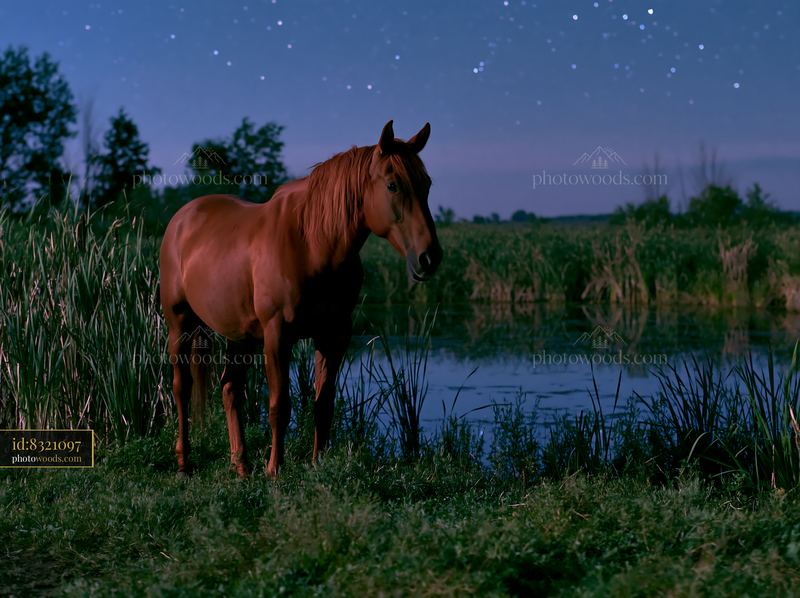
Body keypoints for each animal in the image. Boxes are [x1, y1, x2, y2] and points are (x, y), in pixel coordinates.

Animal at [159, 120, 442, 478]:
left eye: (427, 184)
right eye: (392, 185)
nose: (429, 258)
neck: (313, 243)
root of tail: (182, 218)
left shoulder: (334, 335)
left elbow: (324, 403)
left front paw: (316, 464)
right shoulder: (278, 335)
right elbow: (280, 405)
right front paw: (274, 470)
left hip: (240, 335)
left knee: (229, 388)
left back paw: (241, 465)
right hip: (180, 324)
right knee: (181, 388)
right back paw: (184, 462)